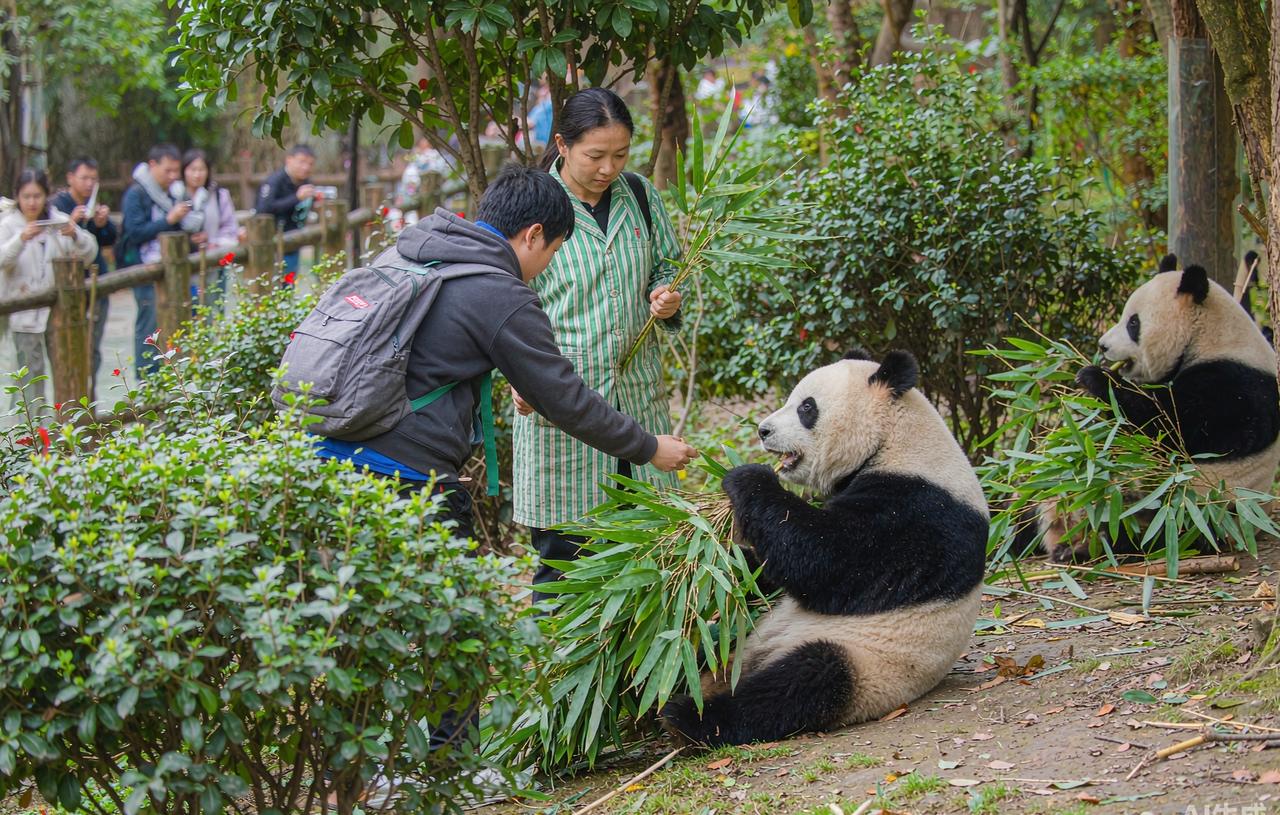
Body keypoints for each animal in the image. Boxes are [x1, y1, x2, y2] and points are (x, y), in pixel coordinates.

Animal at [659, 350, 989, 746]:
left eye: (807, 407)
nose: (763, 430)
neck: (894, 440)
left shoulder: (920, 514)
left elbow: (828, 562)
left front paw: (748, 475)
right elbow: (770, 572)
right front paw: (718, 567)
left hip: (868, 663)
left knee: (803, 681)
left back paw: (689, 717)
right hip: (735, 641)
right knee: (697, 646)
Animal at [1042, 255, 1280, 562]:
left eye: (1133, 323)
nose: (1102, 346)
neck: (1211, 336)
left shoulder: (1234, 386)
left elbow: (1169, 427)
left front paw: (1095, 378)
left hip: (1189, 512)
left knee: (1144, 533)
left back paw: (1085, 549)